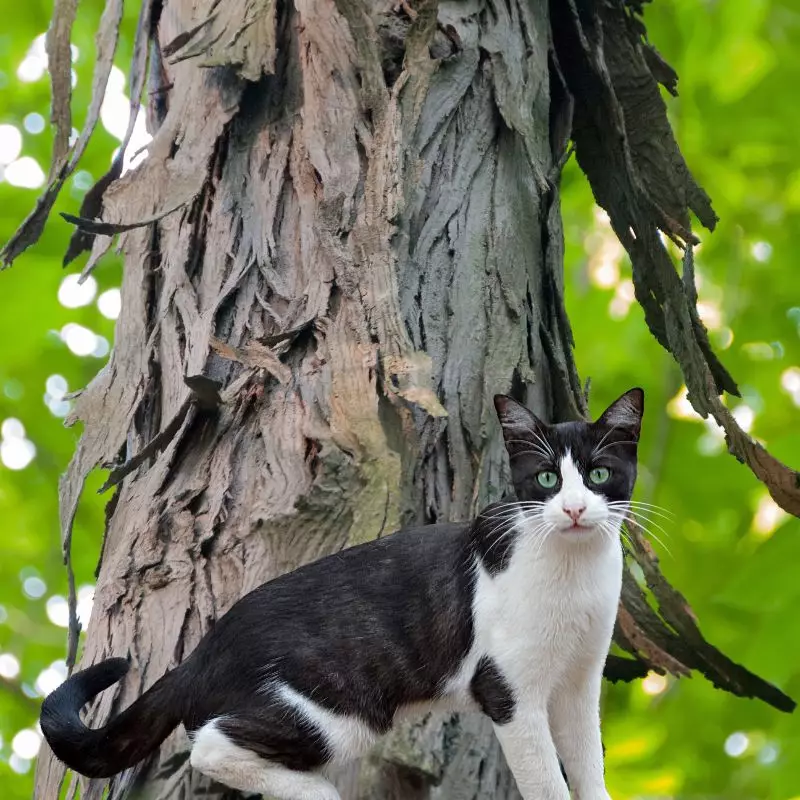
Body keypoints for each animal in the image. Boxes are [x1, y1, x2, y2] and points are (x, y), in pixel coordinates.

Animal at [42, 390, 644, 800]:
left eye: (598, 475)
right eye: (545, 480)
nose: (573, 509)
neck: (575, 573)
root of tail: (200, 654)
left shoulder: (579, 683)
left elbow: (588, 765)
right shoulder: (507, 690)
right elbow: (547, 782)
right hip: (336, 712)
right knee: (210, 744)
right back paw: (317, 792)